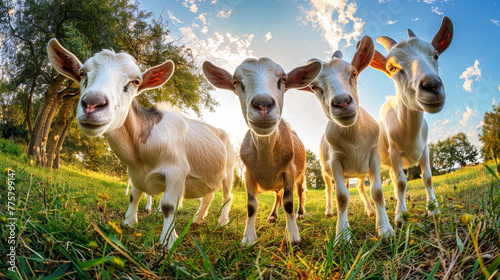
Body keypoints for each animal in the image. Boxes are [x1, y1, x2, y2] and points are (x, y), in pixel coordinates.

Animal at [47, 38, 235, 247]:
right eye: (82, 73)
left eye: (136, 81)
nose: (92, 103)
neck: (140, 155)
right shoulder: (135, 172)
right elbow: (134, 195)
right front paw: (129, 222)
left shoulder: (177, 171)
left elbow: (168, 206)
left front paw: (168, 241)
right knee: (209, 195)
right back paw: (197, 219)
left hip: (229, 170)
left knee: (227, 196)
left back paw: (222, 222)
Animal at [202, 58, 322, 245]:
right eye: (235, 82)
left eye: (284, 79)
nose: (263, 104)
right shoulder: (248, 173)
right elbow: (252, 204)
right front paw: (248, 238)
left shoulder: (289, 171)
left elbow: (289, 202)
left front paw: (293, 236)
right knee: (278, 195)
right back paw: (273, 215)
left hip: (301, 174)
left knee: (301, 192)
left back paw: (301, 214)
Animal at [300, 36, 394, 241]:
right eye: (314, 86)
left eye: (354, 73)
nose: (342, 102)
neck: (354, 140)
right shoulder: (335, 160)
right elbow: (341, 196)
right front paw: (342, 235)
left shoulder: (373, 155)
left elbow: (377, 191)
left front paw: (385, 229)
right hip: (324, 171)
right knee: (328, 189)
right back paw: (329, 212)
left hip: (361, 170)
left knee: (360, 186)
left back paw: (370, 211)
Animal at [368, 15, 454, 225]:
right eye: (392, 68)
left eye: (435, 55)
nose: (432, 85)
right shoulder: (394, 152)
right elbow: (401, 182)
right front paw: (399, 217)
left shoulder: (425, 149)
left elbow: (427, 177)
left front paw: (433, 209)